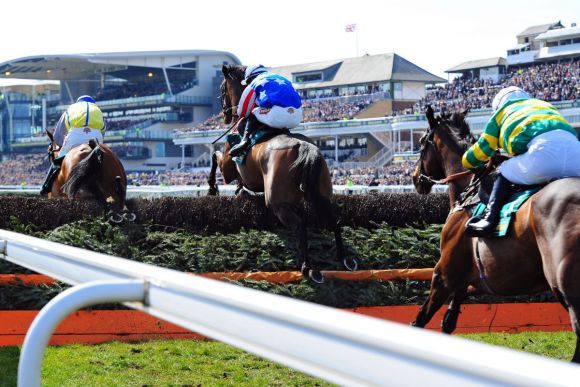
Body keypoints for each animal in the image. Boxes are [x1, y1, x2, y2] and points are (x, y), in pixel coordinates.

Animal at [206, 63, 356, 282]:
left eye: (222, 89)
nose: (225, 114)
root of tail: (305, 148)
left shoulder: (228, 168)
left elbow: (215, 157)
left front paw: (212, 189)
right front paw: (239, 191)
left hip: (278, 203)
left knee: (301, 225)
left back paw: (308, 268)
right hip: (322, 195)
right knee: (333, 220)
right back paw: (344, 258)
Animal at [410, 106, 580, 364]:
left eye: (421, 142)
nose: (415, 177)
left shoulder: (444, 275)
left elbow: (420, 320)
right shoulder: (467, 281)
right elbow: (448, 322)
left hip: (566, 288)